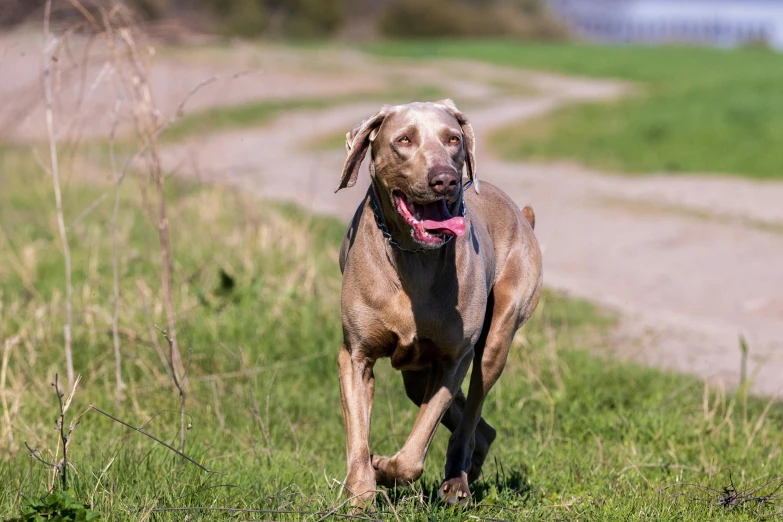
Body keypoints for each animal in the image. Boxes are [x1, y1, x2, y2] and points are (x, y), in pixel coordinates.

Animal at [334, 97, 544, 504]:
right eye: (403, 139)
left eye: (453, 139)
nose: (445, 179)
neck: (415, 259)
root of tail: (521, 215)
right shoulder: (355, 356)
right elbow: (358, 436)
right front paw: (361, 493)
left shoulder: (453, 359)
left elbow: (413, 454)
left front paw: (386, 468)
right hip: (416, 375)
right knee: (476, 426)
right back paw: (468, 467)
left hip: (497, 336)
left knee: (473, 410)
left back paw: (457, 481)